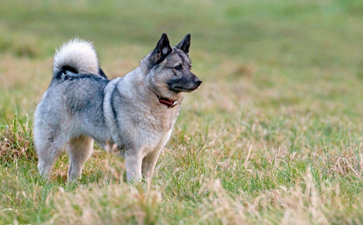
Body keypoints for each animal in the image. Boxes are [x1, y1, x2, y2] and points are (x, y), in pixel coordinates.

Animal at [33, 33, 202, 183]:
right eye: (178, 67)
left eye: (190, 66)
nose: (199, 81)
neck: (154, 95)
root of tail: (63, 76)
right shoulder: (135, 154)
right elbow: (136, 179)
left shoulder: (152, 155)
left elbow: (147, 178)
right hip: (52, 144)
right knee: (44, 166)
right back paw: (44, 184)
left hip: (82, 148)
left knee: (73, 170)